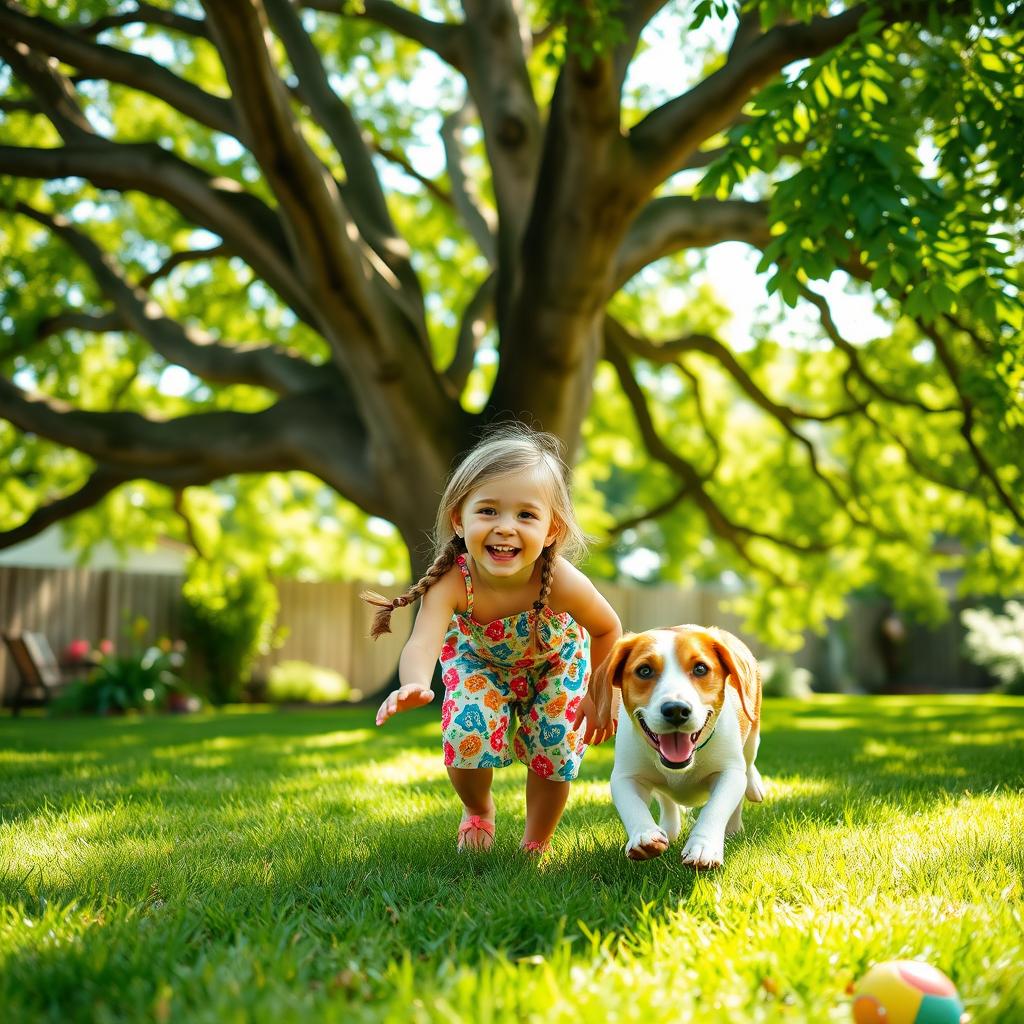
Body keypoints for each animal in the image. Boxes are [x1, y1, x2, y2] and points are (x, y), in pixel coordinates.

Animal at [602, 618, 765, 868]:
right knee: (666, 799)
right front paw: (644, 834)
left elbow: (715, 807)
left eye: (700, 669)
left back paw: (745, 804)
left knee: (747, 766)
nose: (676, 709)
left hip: (752, 734)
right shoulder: (625, 775)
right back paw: (669, 828)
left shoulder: (729, 772)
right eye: (644, 671)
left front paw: (703, 846)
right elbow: (632, 804)